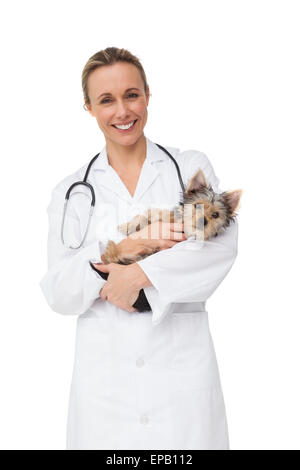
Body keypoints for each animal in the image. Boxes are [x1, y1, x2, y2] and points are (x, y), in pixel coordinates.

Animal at [102, 168, 243, 264]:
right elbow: (147, 213)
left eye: (215, 215)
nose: (203, 221)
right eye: (197, 205)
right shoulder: (162, 215)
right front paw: (127, 226)